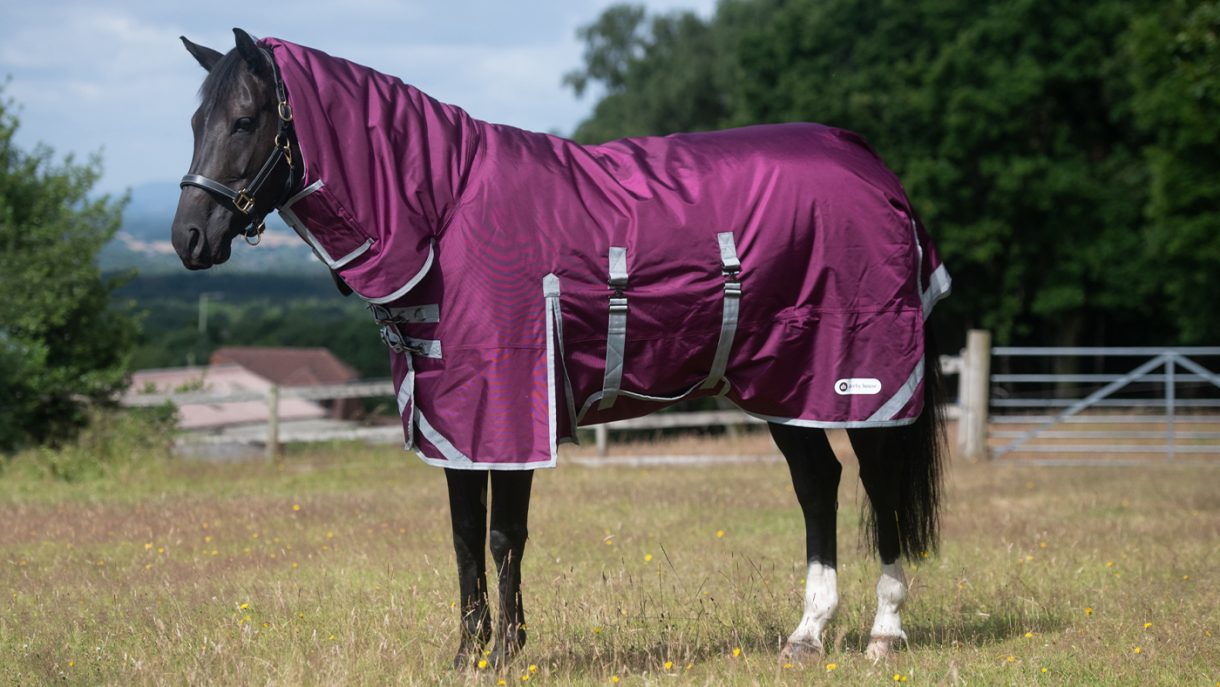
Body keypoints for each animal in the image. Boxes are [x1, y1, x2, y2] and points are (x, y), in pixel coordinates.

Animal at [171, 28, 951, 669]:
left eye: (245, 120)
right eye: (196, 122)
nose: (188, 239)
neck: (444, 212)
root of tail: (874, 169)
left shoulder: (513, 406)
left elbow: (503, 534)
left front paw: (506, 653)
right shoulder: (457, 419)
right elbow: (463, 535)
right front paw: (469, 654)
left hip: (858, 380)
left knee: (878, 487)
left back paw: (884, 632)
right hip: (782, 384)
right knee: (818, 485)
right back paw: (806, 634)